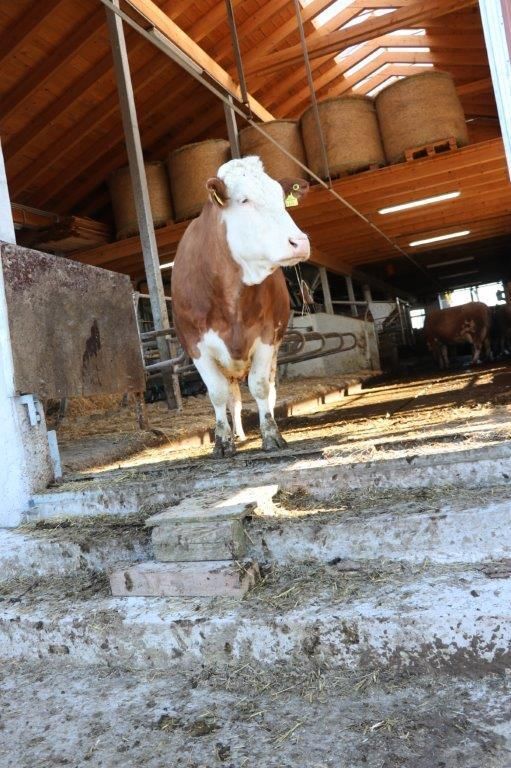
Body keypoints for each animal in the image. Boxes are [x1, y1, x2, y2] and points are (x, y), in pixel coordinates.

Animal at [171, 156, 310, 457]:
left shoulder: (267, 336)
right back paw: (238, 435)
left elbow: (259, 387)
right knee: (232, 397)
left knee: (268, 388)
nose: (300, 242)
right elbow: (217, 393)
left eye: (281, 199)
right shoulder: (195, 345)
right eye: (244, 200)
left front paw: (271, 435)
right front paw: (223, 441)